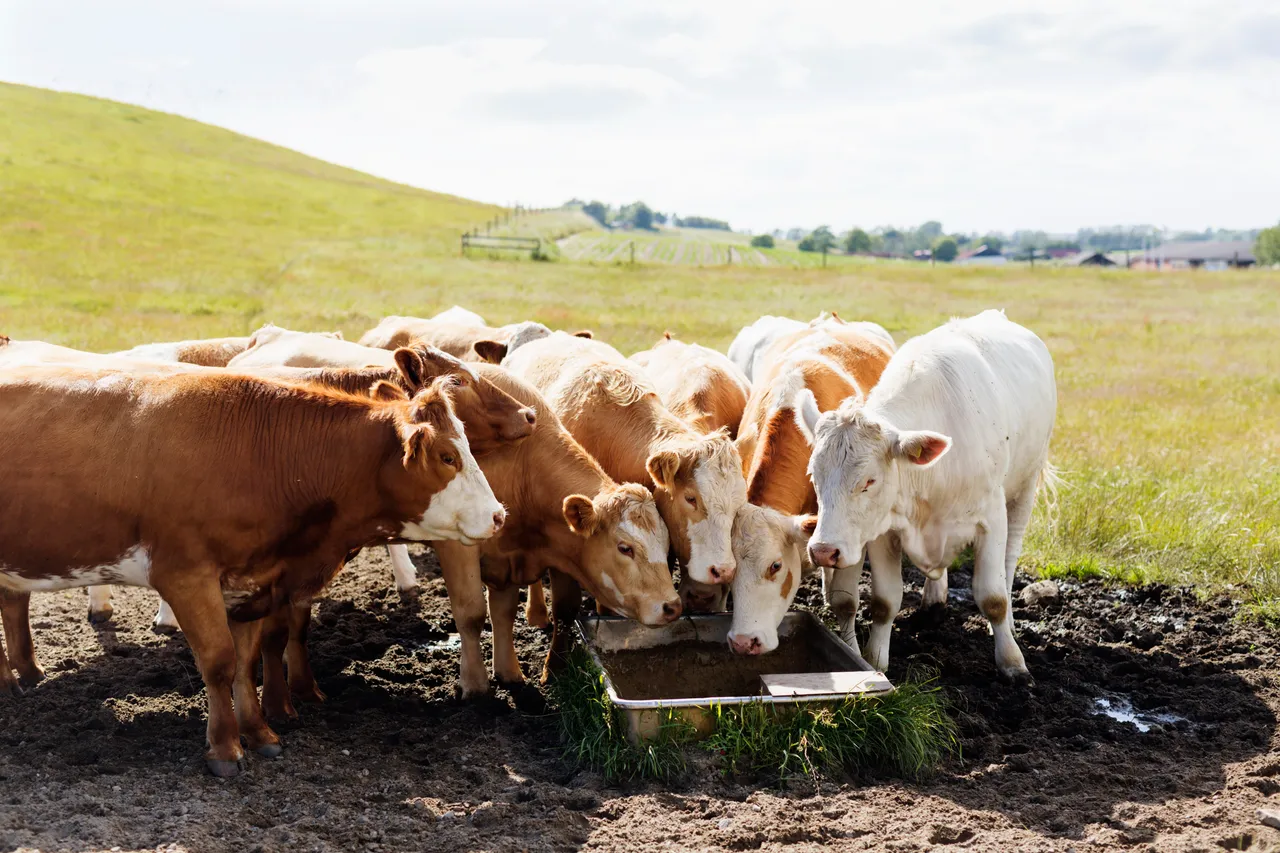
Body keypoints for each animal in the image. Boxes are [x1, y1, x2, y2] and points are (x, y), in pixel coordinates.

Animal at [0, 365, 503, 775]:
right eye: (447, 457)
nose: (500, 515)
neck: (263, 458)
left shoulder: (253, 582)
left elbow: (246, 661)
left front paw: (259, 732)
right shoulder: (186, 576)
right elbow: (219, 661)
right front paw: (225, 748)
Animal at [727, 320, 894, 656]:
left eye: (775, 565)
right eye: (729, 570)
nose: (743, 642)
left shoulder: (850, 535)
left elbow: (845, 600)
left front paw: (853, 651)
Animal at [804, 310, 1057, 682]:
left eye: (869, 481)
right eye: (814, 475)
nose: (823, 551)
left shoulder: (991, 518)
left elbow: (993, 597)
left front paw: (1012, 662)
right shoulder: (884, 530)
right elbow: (885, 602)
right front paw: (876, 662)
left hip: (1024, 487)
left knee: (1009, 563)